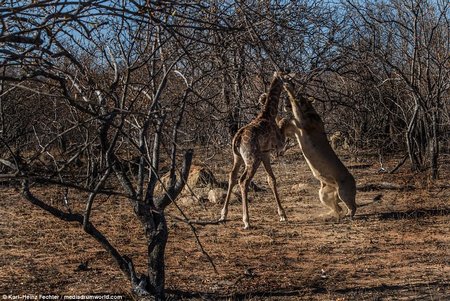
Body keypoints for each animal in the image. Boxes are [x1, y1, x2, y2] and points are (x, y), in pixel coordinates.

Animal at [219, 71, 288, 229]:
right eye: (286, 76)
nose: (289, 83)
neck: (268, 114)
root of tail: (237, 138)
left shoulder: (265, 153)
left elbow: (271, 179)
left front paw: (281, 214)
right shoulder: (273, 147)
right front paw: (283, 215)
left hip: (238, 157)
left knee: (232, 176)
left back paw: (223, 214)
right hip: (252, 159)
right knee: (243, 181)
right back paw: (246, 221)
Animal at [284, 81, 356, 218]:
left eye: (300, 98)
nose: (285, 103)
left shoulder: (303, 122)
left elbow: (296, 108)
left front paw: (288, 89)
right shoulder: (295, 131)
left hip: (344, 191)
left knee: (352, 205)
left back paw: (348, 215)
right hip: (323, 193)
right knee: (337, 207)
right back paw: (331, 214)